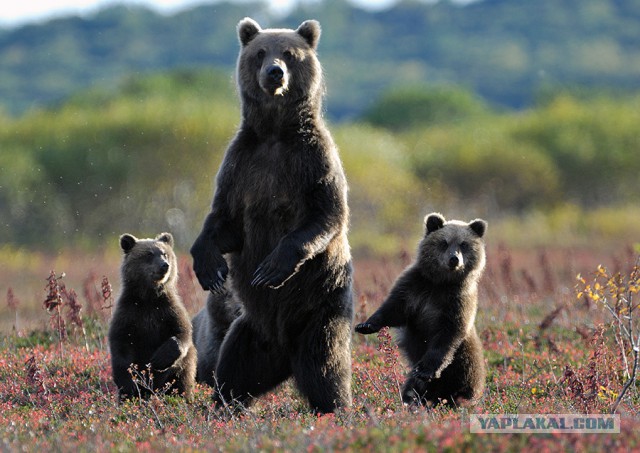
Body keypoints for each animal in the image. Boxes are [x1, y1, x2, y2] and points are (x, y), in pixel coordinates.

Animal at [109, 233, 196, 400]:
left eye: (165, 254)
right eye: (148, 254)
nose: (164, 265)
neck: (149, 297)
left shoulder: (168, 310)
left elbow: (182, 332)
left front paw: (159, 358)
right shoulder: (129, 313)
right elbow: (120, 343)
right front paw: (128, 383)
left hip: (181, 371)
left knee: (182, 382)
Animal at [190, 18, 352, 414]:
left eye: (289, 54)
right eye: (260, 52)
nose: (274, 72)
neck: (276, 132)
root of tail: (284, 355)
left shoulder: (312, 160)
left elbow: (325, 215)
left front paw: (271, 267)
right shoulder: (242, 164)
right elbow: (225, 220)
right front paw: (210, 267)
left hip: (320, 309)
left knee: (325, 367)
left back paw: (338, 408)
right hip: (250, 332)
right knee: (234, 371)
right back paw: (224, 406)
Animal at [356, 212, 484, 406]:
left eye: (464, 244)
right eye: (444, 242)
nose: (454, 259)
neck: (441, 283)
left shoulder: (456, 302)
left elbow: (446, 336)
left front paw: (425, 370)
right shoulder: (414, 288)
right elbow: (394, 309)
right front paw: (366, 325)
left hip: (466, 365)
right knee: (412, 388)